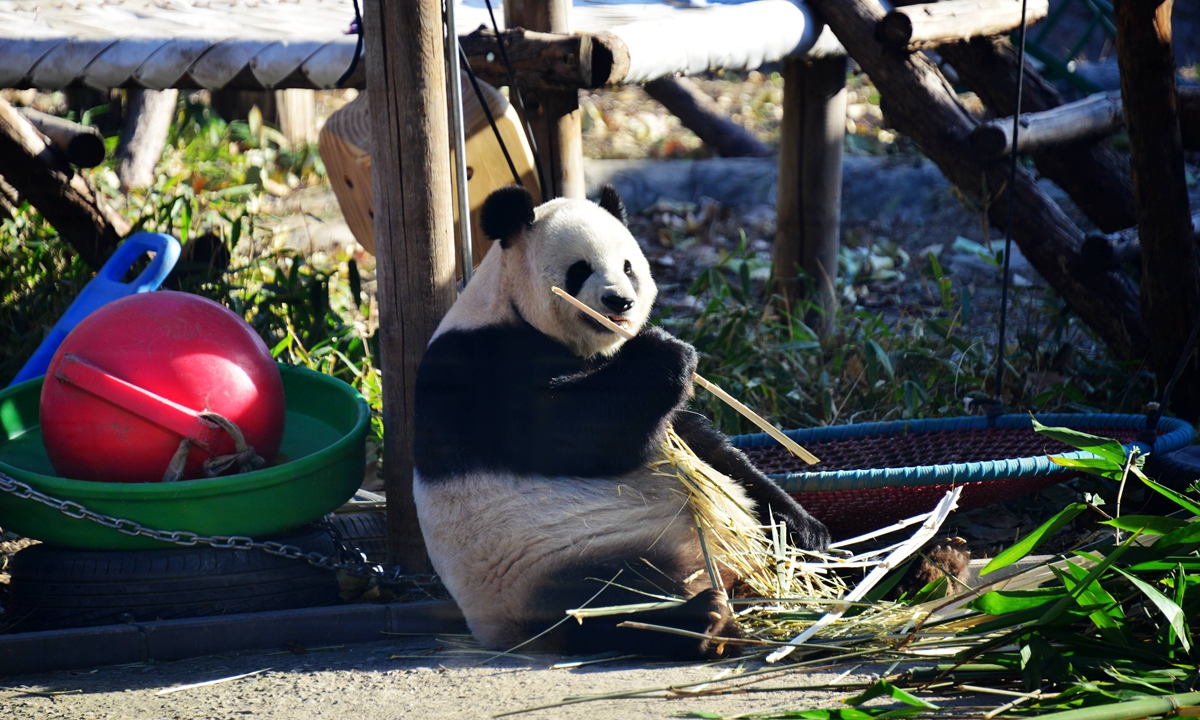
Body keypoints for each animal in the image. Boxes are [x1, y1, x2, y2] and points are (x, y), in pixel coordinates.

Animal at [412, 184, 825, 657]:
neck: (509, 307)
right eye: (579, 270)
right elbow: (572, 433)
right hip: (545, 556)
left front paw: (806, 528)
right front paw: (666, 352)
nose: (620, 301)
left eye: (628, 266)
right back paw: (700, 619)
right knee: (599, 602)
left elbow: (705, 445)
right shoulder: (480, 365)